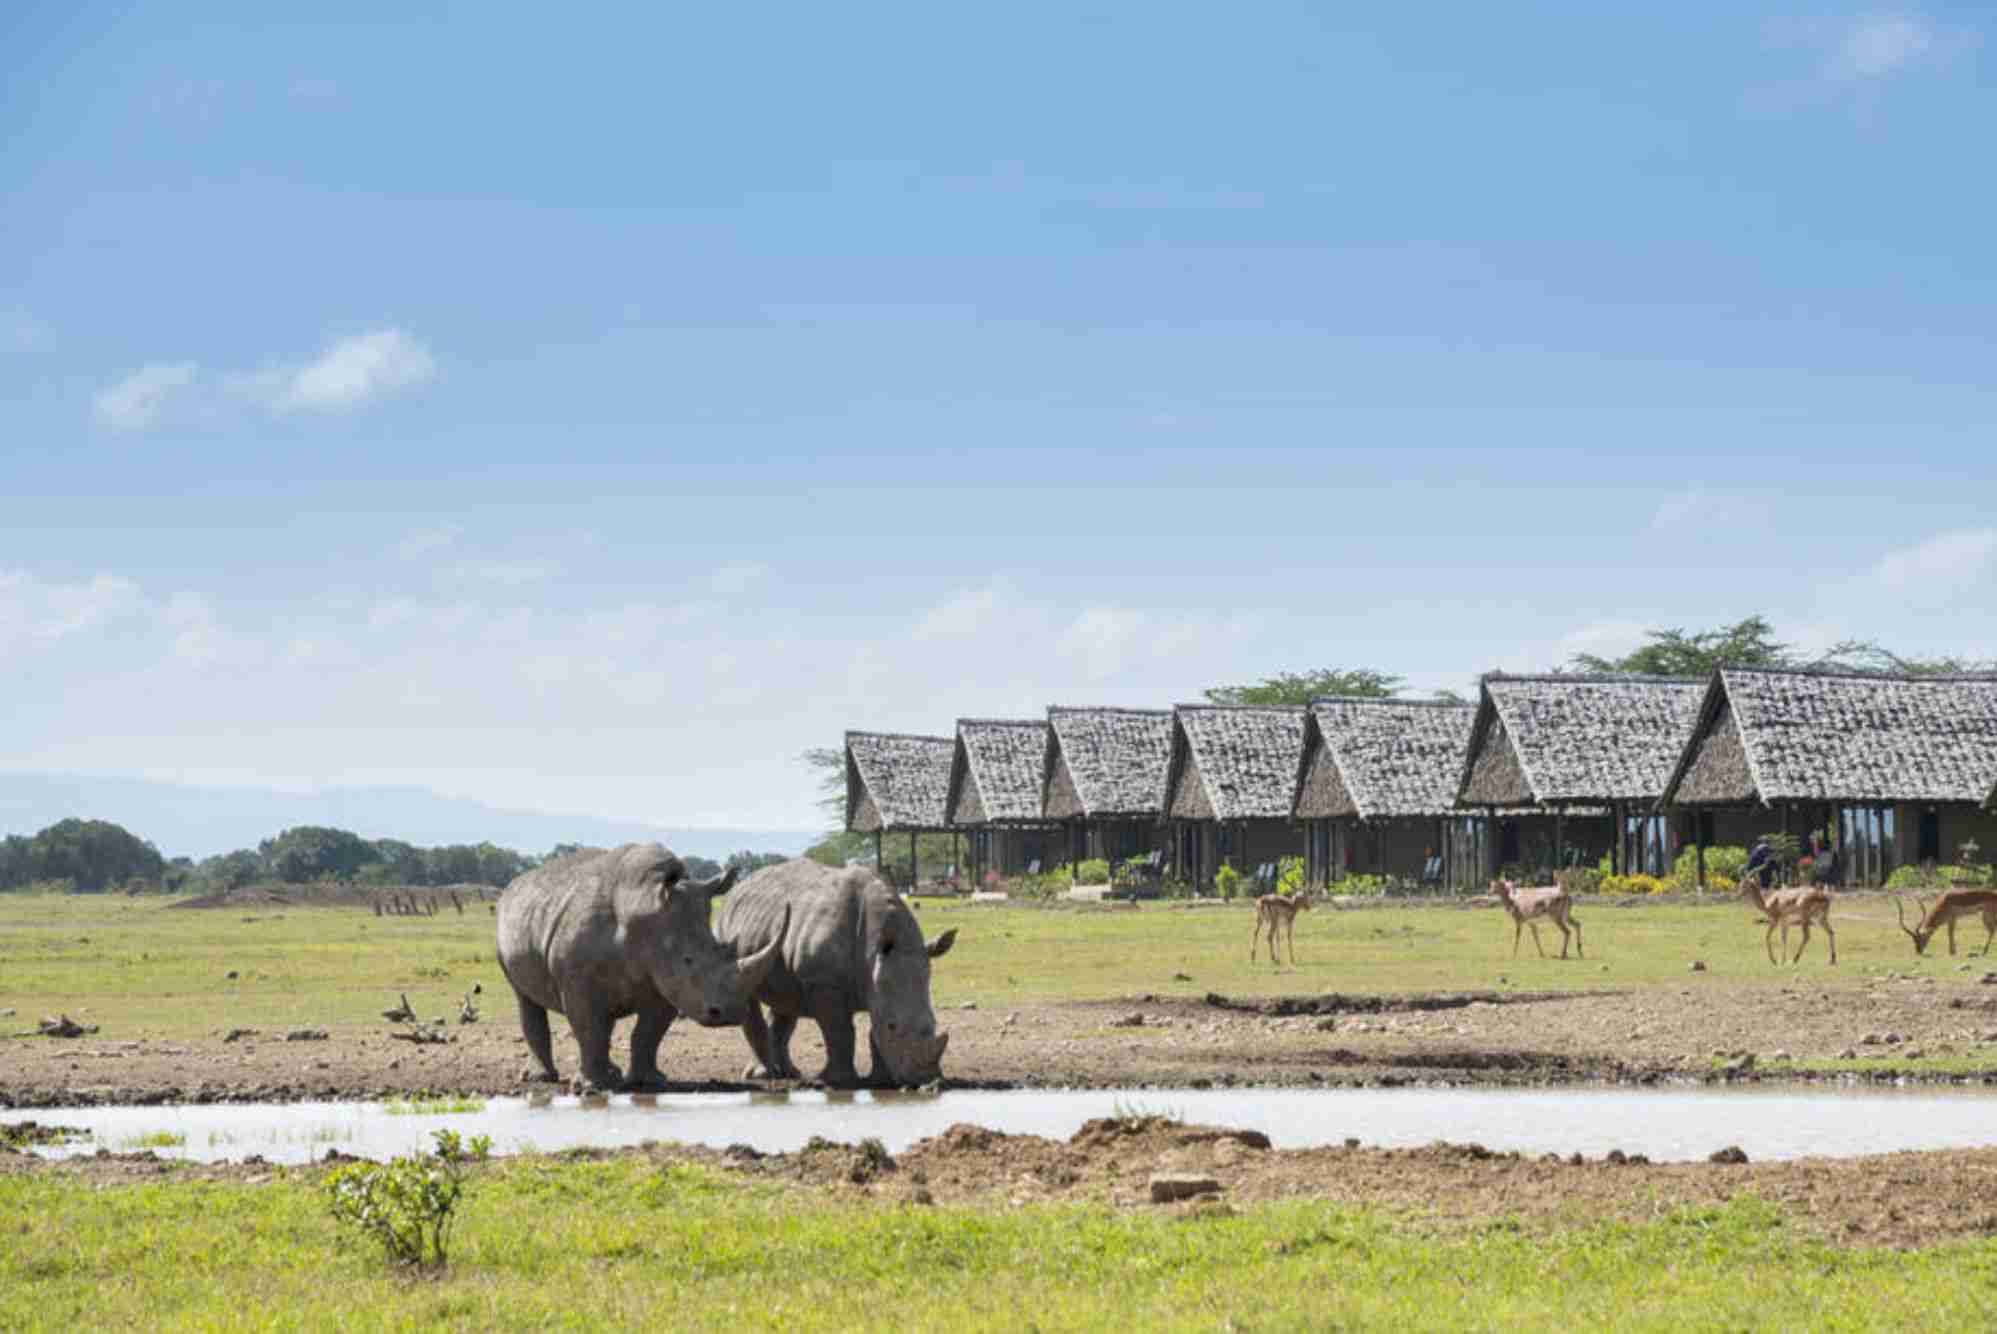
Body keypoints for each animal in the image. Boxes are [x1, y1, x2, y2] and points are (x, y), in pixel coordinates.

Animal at [495, 843, 786, 1092]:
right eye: (688, 960)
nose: (729, 1014)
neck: (643, 910)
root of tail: (516, 883)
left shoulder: (666, 979)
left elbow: (648, 1032)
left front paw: (648, 1082)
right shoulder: (577, 981)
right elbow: (589, 1028)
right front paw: (594, 1087)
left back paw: (610, 1074)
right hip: (505, 924)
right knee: (525, 998)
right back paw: (542, 1079)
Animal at [714, 858, 957, 1088]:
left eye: (933, 1023)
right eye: (892, 1026)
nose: (925, 1079)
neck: (874, 951)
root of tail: (736, 890)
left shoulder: (877, 978)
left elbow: (872, 1030)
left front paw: (881, 1081)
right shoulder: (822, 981)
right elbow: (839, 1031)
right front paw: (836, 1081)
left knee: (785, 1001)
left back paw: (788, 1073)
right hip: (726, 933)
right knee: (746, 990)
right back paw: (762, 1075)